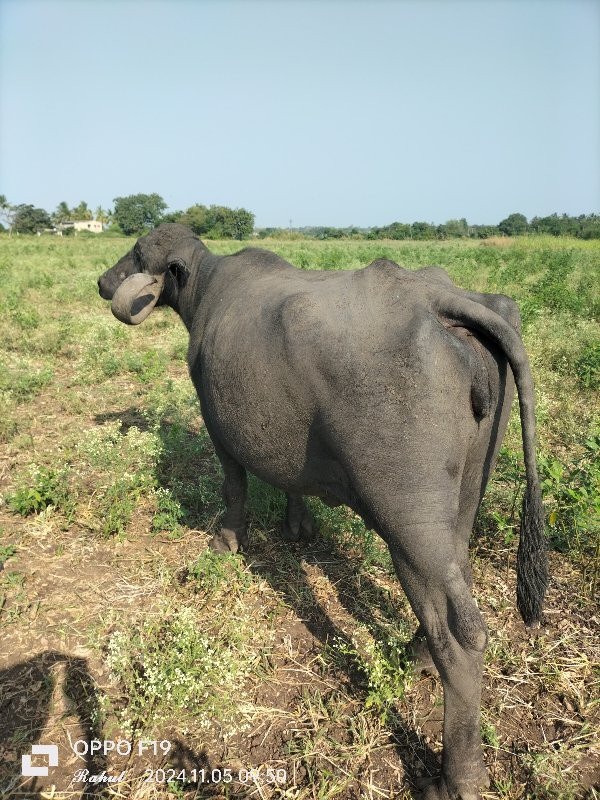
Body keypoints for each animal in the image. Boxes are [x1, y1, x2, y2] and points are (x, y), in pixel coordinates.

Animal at [99, 222, 548, 796]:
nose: (103, 281)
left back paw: (457, 777)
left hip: (411, 520)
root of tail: (439, 301)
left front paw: (227, 540)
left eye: (137, 253)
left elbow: (234, 487)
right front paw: (298, 526)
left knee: (463, 631)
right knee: (457, 584)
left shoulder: (217, 424)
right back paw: (418, 654)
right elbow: (290, 481)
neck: (208, 290)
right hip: (469, 491)